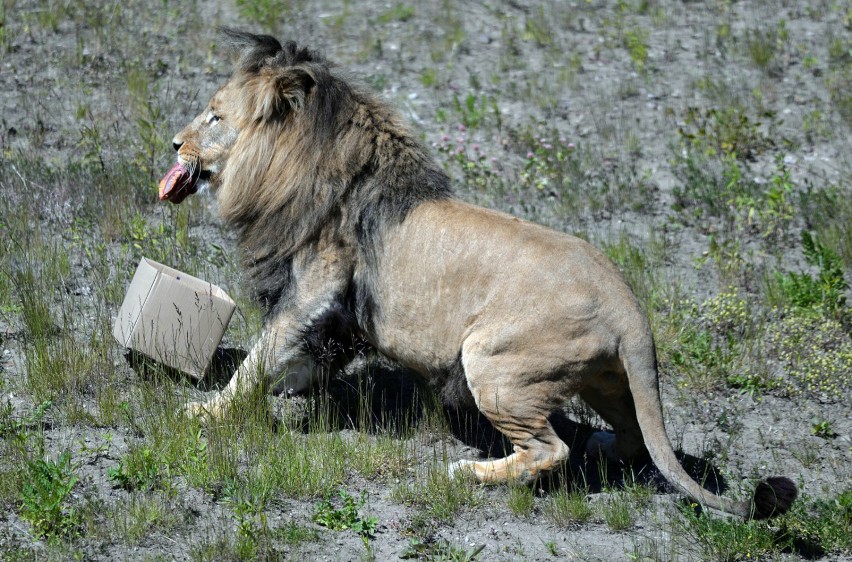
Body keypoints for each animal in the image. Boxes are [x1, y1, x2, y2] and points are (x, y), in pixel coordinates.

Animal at [161, 29, 800, 516]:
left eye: (214, 117)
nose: (173, 143)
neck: (296, 171)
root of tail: (630, 307)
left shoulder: (314, 284)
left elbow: (262, 352)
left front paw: (207, 410)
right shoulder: (335, 310)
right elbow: (300, 354)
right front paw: (289, 386)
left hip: (494, 363)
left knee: (550, 453)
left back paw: (468, 471)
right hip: (604, 378)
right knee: (633, 439)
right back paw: (595, 441)